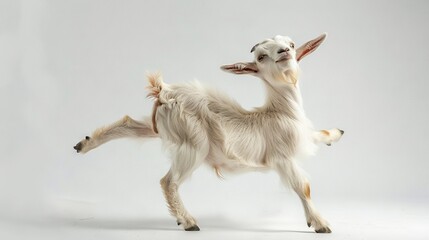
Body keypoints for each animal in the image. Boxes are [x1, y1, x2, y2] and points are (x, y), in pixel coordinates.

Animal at [72, 33, 342, 232]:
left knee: (127, 124)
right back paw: (188, 221)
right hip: (193, 143)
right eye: (261, 56)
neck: (281, 112)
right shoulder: (283, 158)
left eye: (292, 44)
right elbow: (303, 186)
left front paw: (336, 133)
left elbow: (317, 134)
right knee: (168, 181)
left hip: (161, 127)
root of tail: (163, 91)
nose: (284, 52)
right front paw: (320, 224)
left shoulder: (302, 137)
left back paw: (84, 144)